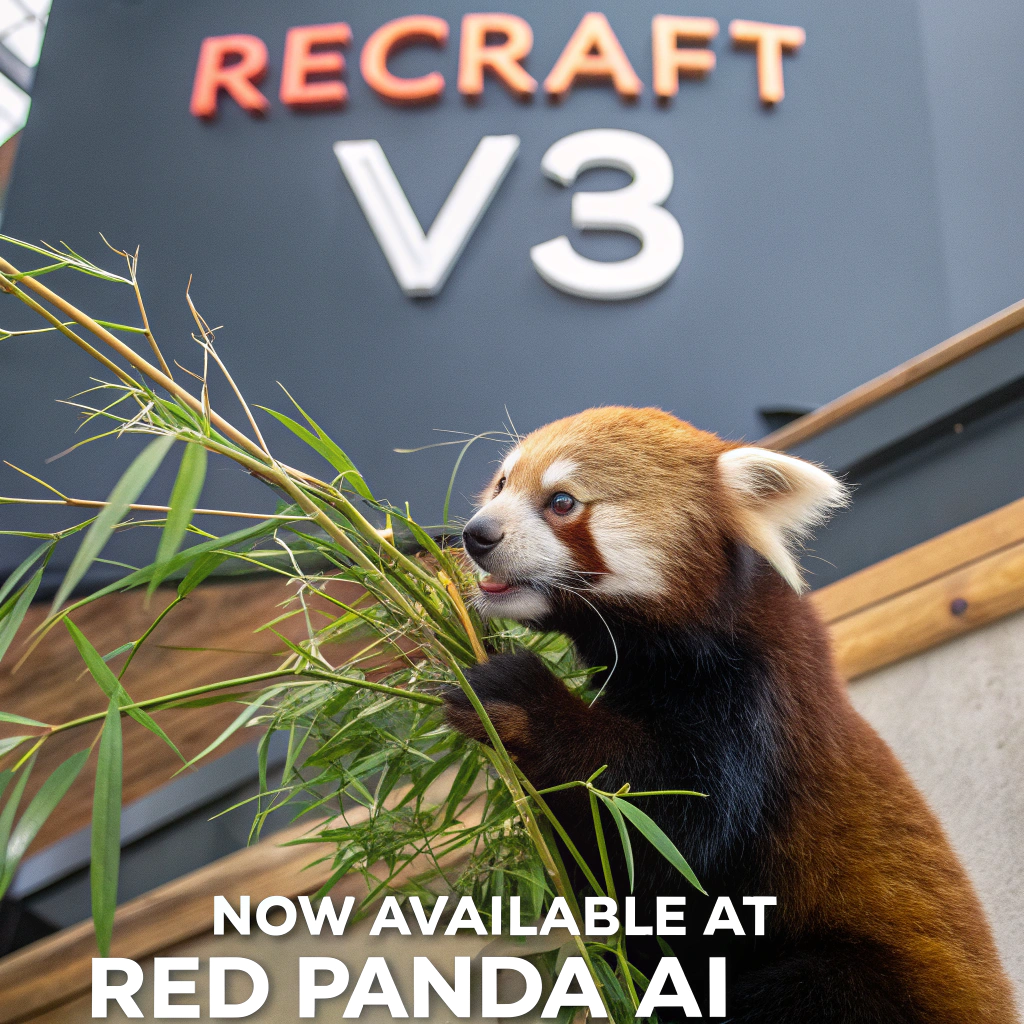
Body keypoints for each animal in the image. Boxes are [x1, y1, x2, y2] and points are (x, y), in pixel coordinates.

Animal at [443, 406, 1017, 1024]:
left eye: (562, 502)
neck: (679, 643)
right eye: (502, 484)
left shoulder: (757, 697)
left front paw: (518, 699)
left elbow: (678, 823)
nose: (478, 534)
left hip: (867, 982)